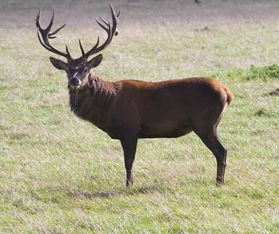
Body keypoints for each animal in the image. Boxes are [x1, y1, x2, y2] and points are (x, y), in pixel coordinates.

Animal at [36, 2, 234, 187]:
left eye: (86, 69)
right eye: (68, 70)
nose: (74, 81)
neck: (108, 104)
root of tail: (227, 91)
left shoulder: (130, 126)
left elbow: (128, 161)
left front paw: (128, 185)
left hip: (205, 123)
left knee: (221, 151)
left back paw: (219, 182)